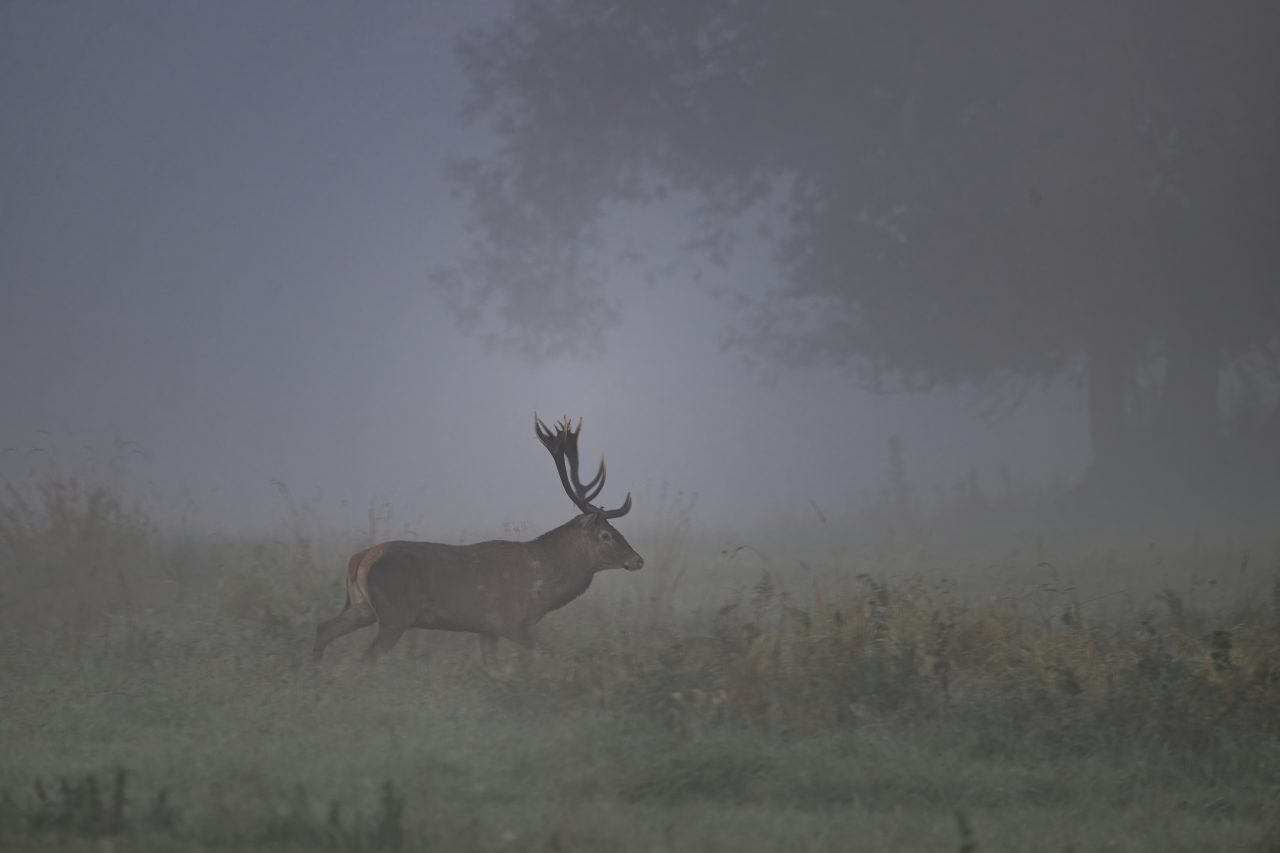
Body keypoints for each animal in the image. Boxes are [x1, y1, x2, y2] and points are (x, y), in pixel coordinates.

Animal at [312, 414, 640, 660]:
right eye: (606, 535)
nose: (638, 559)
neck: (545, 581)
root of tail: (359, 559)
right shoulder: (513, 623)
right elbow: (548, 655)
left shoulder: (487, 629)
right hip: (393, 614)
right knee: (364, 655)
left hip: (362, 608)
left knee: (323, 629)